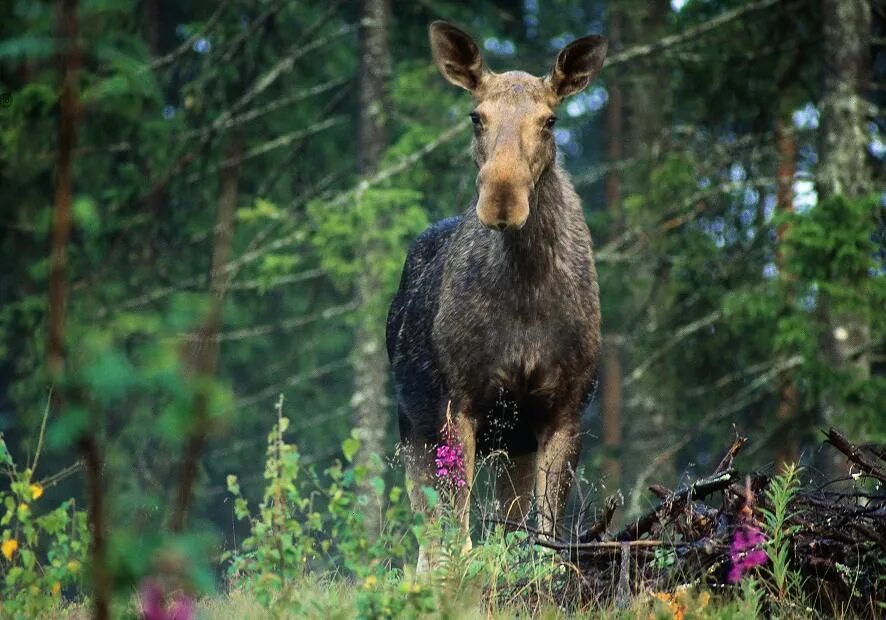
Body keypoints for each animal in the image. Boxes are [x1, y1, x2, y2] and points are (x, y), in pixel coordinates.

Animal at [388, 20, 612, 572]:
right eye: (476, 116)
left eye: (551, 120)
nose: (502, 199)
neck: (526, 293)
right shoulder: (456, 404)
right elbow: (458, 535)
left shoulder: (564, 409)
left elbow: (546, 536)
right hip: (412, 425)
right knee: (426, 535)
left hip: (513, 443)